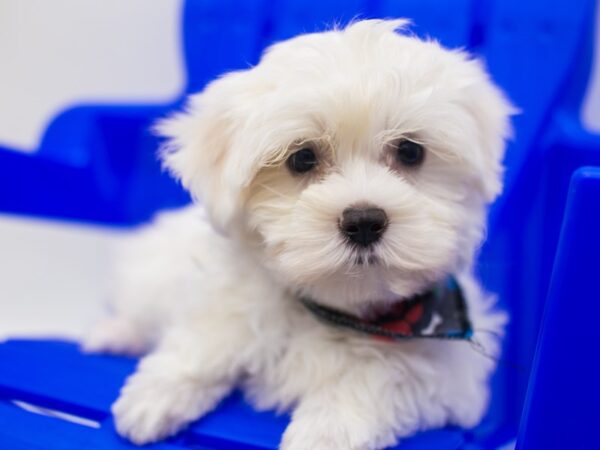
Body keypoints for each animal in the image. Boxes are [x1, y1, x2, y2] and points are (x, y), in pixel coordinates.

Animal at [83, 20, 516, 450]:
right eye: (302, 158)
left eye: (410, 152)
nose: (363, 220)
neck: (336, 308)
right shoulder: (228, 296)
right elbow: (210, 334)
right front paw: (155, 395)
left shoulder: (450, 375)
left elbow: (380, 374)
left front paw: (326, 432)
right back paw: (115, 333)